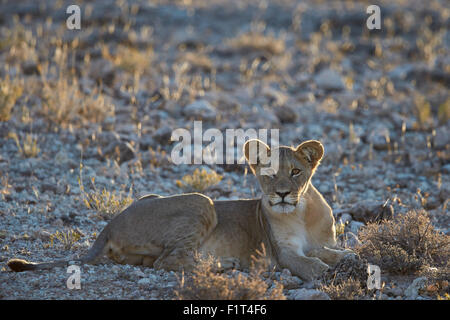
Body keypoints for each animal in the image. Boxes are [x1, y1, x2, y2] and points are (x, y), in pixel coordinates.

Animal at [7, 139, 352, 282]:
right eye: (268, 174)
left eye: (295, 172)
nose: (281, 194)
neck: (302, 212)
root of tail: (108, 226)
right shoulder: (283, 254)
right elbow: (308, 264)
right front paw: (324, 272)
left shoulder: (321, 242)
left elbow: (334, 252)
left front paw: (349, 260)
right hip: (202, 202)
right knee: (168, 261)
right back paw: (223, 266)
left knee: (160, 261)